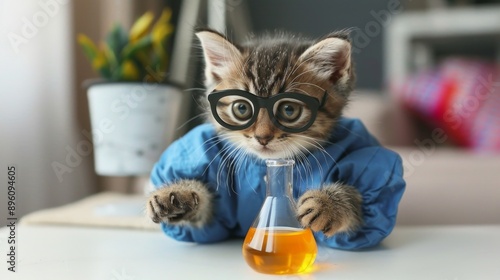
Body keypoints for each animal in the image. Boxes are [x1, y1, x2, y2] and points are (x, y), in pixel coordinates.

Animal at [146, 29, 404, 247]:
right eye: (242, 108)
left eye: (289, 110)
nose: (262, 137)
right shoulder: (216, 217)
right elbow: (206, 217)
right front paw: (177, 194)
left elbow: (362, 201)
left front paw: (328, 204)